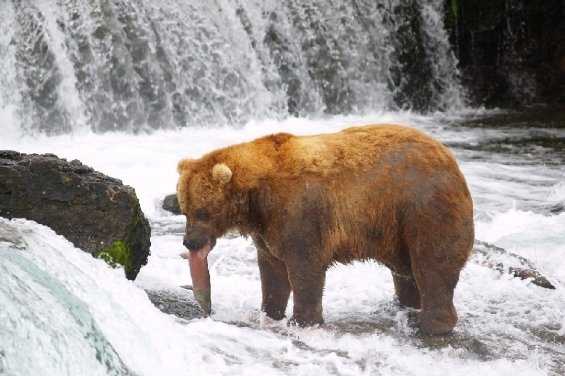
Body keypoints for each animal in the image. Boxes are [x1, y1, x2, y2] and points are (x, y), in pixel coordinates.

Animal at [177, 124, 476, 334]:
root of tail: (450, 159)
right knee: (406, 272)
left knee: (432, 266)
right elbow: (272, 271)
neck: (256, 199)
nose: (190, 242)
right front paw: (268, 312)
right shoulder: (267, 230)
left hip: (422, 208)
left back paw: (432, 325)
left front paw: (303, 321)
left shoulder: (300, 212)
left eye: (202, 211)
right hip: (396, 228)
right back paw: (407, 308)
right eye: (185, 208)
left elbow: (305, 268)